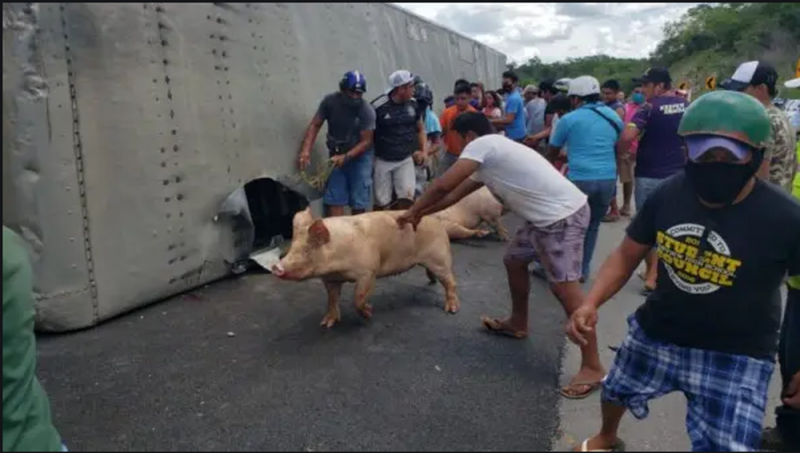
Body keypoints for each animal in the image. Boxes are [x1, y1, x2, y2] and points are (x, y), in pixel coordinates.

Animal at [272, 207, 460, 326]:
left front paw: (369, 314)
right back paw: (432, 282)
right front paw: (326, 324)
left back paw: (452, 310)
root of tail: (437, 220)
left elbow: (358, 297)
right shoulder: (330, 279)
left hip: (440, 257)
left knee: (451, 282)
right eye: (291, 248)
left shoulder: (369, 271)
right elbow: (332, 299)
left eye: (306, 250)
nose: (276, 266)